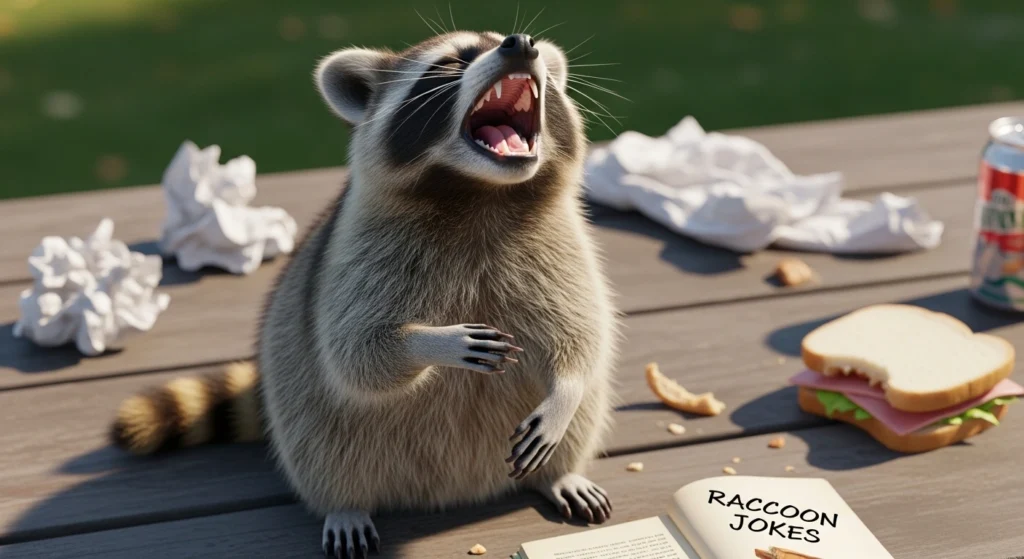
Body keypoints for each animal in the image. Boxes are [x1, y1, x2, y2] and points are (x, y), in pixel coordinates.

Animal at [111, 30, 620, 558]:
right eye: (454, 60)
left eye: (503, 39)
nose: (520, 44)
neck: (482, 191)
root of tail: (455, 491)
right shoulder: (360, 250)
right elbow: (354, 352)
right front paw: (433, 342)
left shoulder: (561, 244)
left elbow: (583, 334)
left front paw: (565, 391)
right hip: (306, 404)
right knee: (322, 441)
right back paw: (344, 503)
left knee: (586, 408)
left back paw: (559, 473)